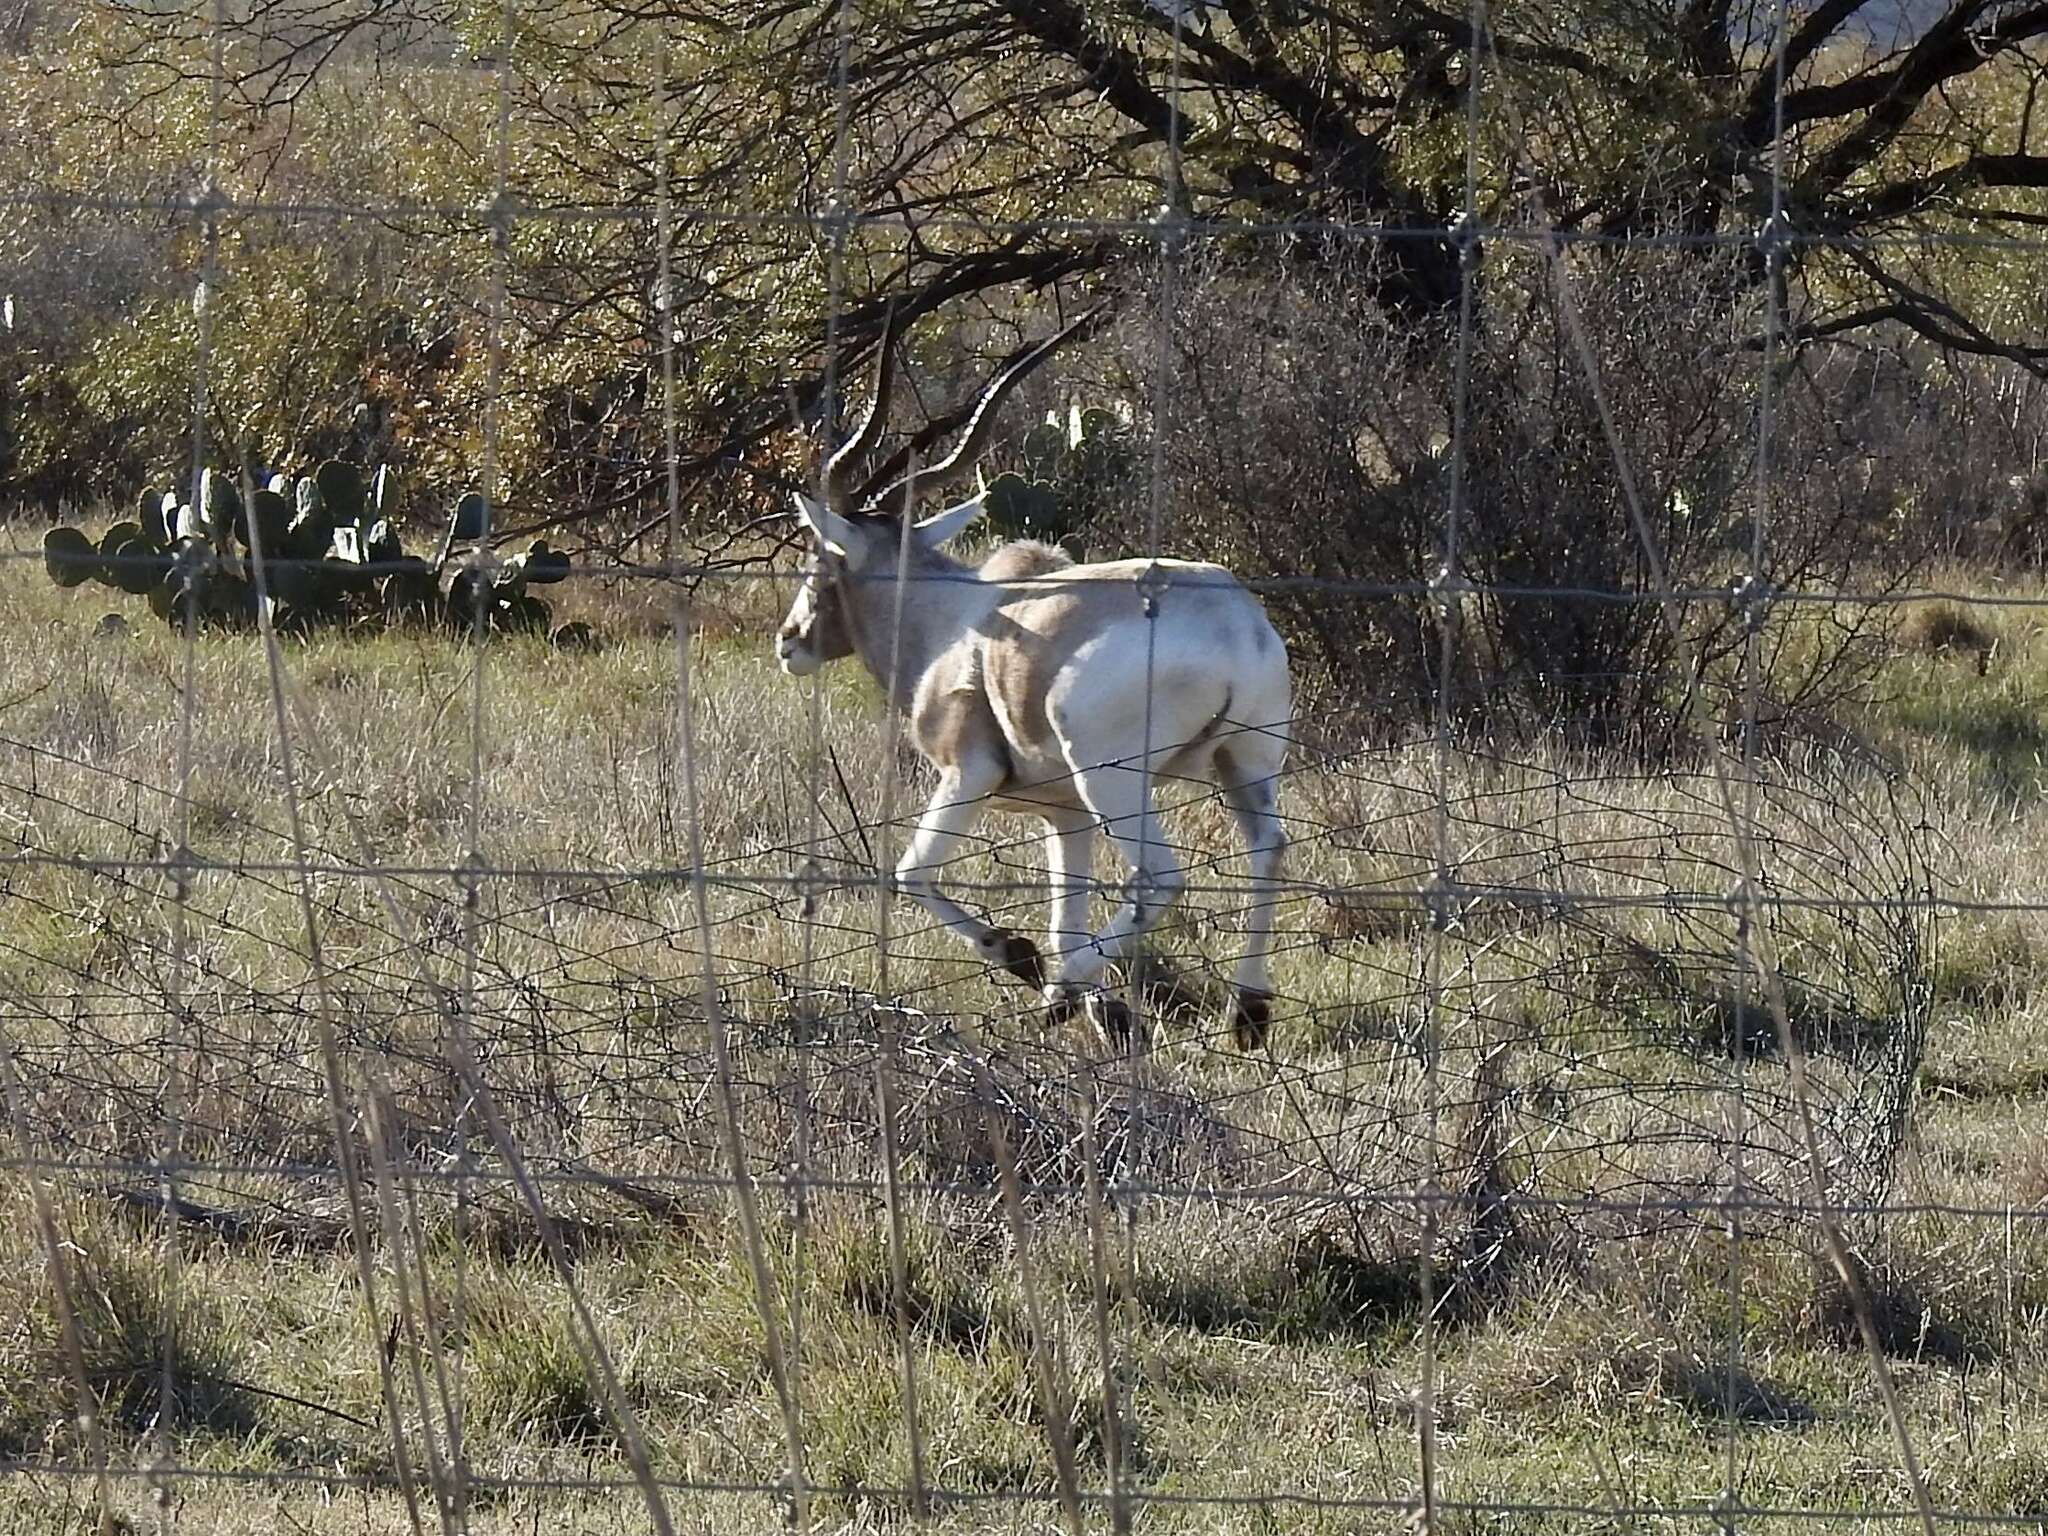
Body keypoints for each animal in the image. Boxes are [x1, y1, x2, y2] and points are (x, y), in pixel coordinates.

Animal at [774, 315, 1286, 1056]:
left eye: (820, 557)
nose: (790, 641)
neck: (955, 619)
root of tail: (1231, 622)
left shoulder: (969, 773)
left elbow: (911, 873)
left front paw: (1030, 966)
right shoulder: (1063, 814)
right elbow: (1065, 905)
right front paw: (1100, 1010)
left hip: (1116, 782)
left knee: (1159, 878)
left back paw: (1070, 986)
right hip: (1244, 765)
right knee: (1268, 849)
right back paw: (1246, 1012)